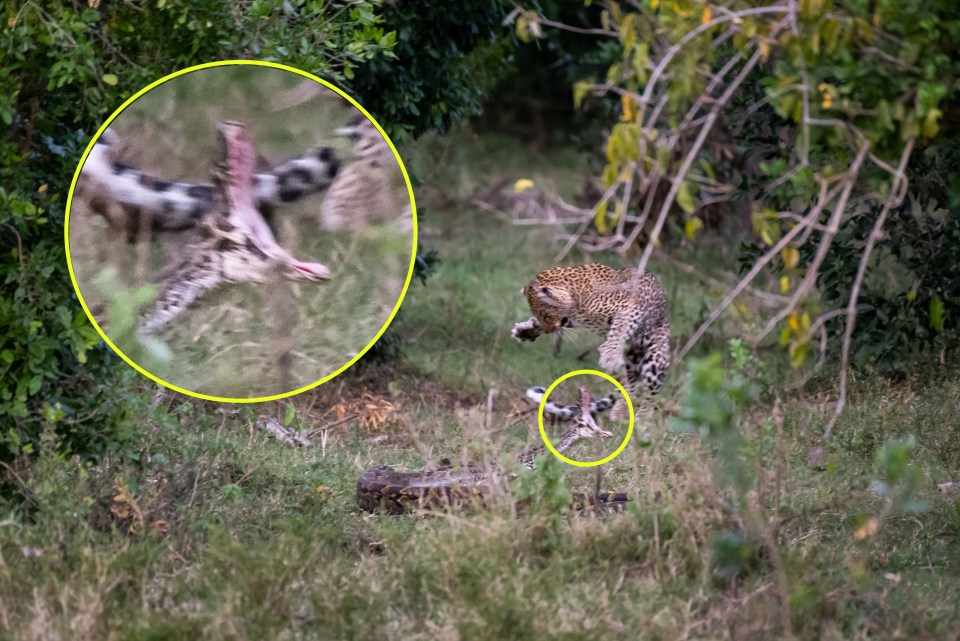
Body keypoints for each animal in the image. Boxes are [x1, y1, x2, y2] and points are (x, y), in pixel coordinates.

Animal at [512, 262, 672, 418]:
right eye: (539, 316)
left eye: (547, 316)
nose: (548, 331)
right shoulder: (573, 318)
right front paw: (525, 331)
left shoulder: (630, 308)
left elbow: (620, 327)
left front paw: (610, 354)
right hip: (628, 366)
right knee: (629, 386)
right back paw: (621, 410)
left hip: (655, 360)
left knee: (649, 395)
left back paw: (640, 416)